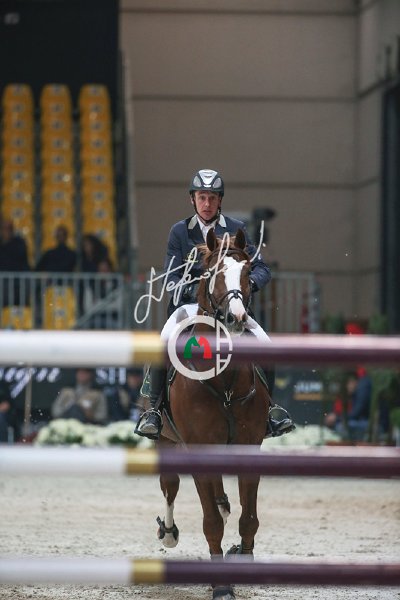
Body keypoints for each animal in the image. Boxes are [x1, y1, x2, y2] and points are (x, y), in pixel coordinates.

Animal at [157, 228, 271, 600]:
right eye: (213, 273)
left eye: (247, 272)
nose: (236, 318)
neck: (225, 380)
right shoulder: (198, 448)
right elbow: (211, 523)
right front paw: (221, 584)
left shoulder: (249, 446)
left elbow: (249, 518)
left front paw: (242, 558)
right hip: (165, 440)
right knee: (170, 487)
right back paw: (169, 533)